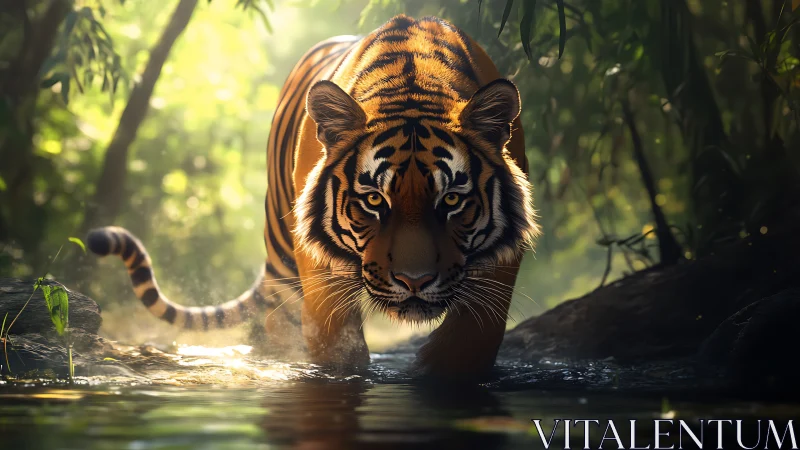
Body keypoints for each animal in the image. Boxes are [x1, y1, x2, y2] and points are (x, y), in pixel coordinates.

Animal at [87, 15, 540, 381]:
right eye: (374, 200)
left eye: (451, 200)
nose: (415, 281)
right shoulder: (319, 268)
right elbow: (337, 347)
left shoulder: (503, 259)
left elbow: (474, 337)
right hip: (283, 255)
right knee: (276, 323)